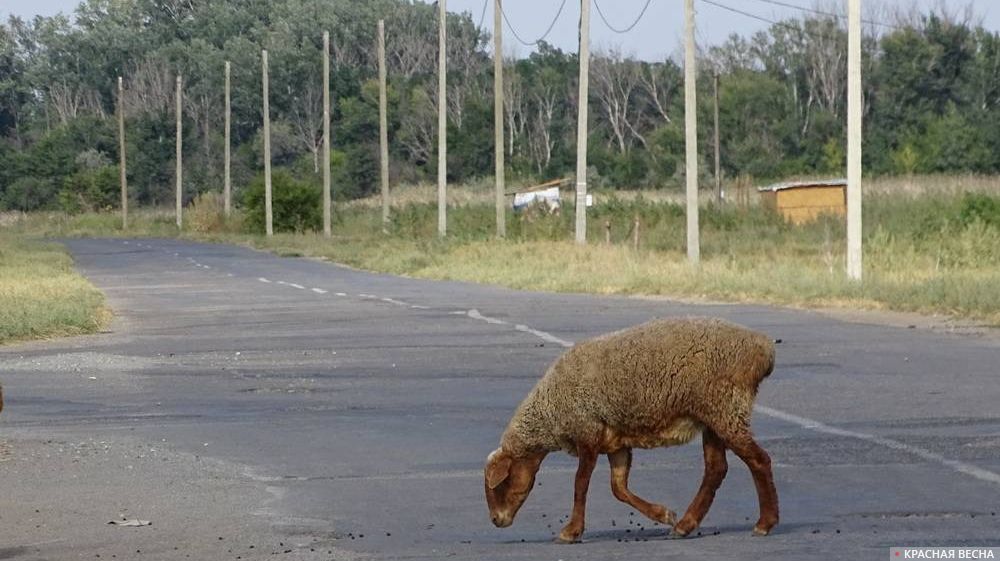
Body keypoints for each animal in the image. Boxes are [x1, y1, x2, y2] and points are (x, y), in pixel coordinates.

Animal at [484, 320, 780, 544]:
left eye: (501, 482)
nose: (496, 520)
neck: (549, 410)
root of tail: (764, 349)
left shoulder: (587, 431)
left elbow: (580, 483)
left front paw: (571, 531)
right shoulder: (616, 443)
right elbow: (618, 489)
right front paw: (663, 514)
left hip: (726, 409)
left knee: (759, 460)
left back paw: (765, 523)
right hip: (713, 417)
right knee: (716, 469)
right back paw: (684, 525)